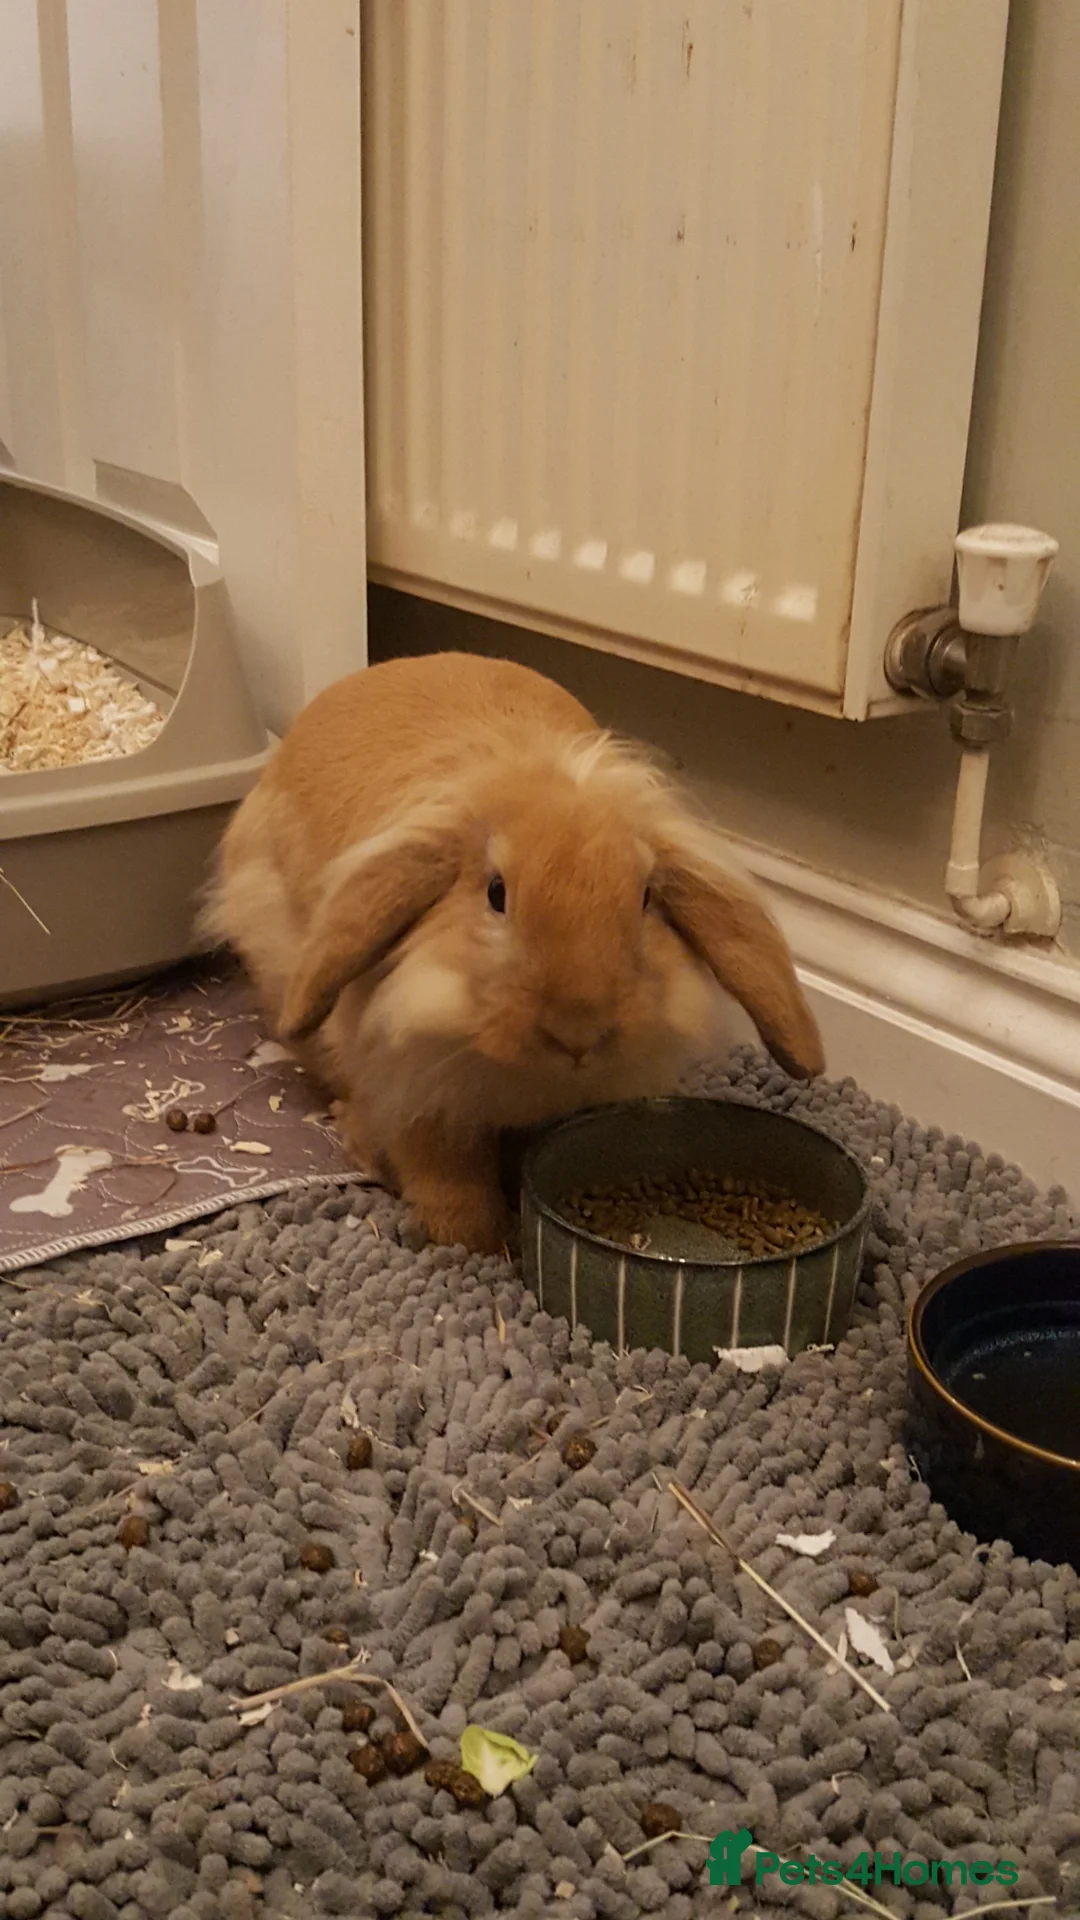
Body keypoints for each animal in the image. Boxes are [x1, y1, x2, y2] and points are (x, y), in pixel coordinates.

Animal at [202, 651, 823, 1252]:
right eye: (496, 894)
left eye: (647, 896)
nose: (578, 1033)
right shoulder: (419, 1098)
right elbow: (446, 1177)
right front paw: (474, 1242)